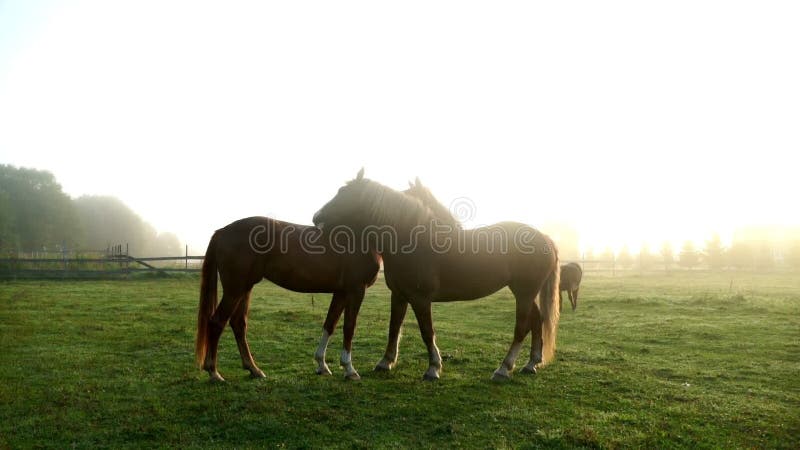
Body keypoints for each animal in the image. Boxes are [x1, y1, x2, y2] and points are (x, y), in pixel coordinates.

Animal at [195, 216, 380, 382]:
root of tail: (222, 232)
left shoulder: (341, 292)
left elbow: (330, 324)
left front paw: (322, 366)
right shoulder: (356, 290)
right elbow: (349, 327)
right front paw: (350, 370)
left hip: (245, 289)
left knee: (238, 324)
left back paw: (254, 369)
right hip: (235, 290)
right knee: (217, 322)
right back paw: (214, 372)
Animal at [310, 174, 560, 382]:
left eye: (344, 193)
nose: (316, 217)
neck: (410, 240)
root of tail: (545, 238)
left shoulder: (420, 299)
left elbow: (426, 331)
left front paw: (433, 368)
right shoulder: (399, 295)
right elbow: (394, 328)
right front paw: (385, 362)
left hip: (524, 293)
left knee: (521, 327)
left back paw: (503, 369)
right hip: (525, 293)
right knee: (537, 321)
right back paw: (531, 364)